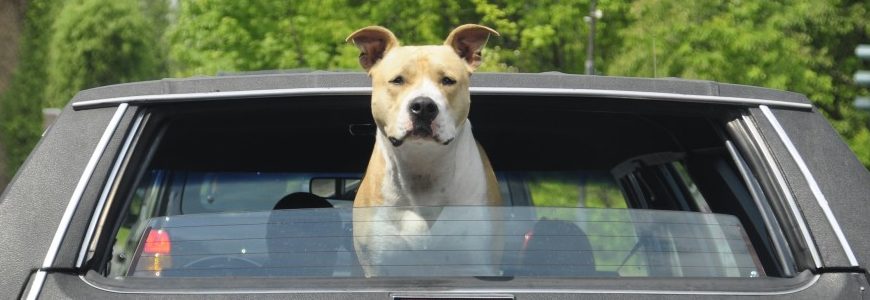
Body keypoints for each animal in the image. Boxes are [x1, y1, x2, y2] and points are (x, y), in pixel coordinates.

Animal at [346, 24, 500, 278]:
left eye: (448, 80)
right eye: (397, 80)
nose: (424, 106)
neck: (423, 163)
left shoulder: (482, 264)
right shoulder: (377, 267)